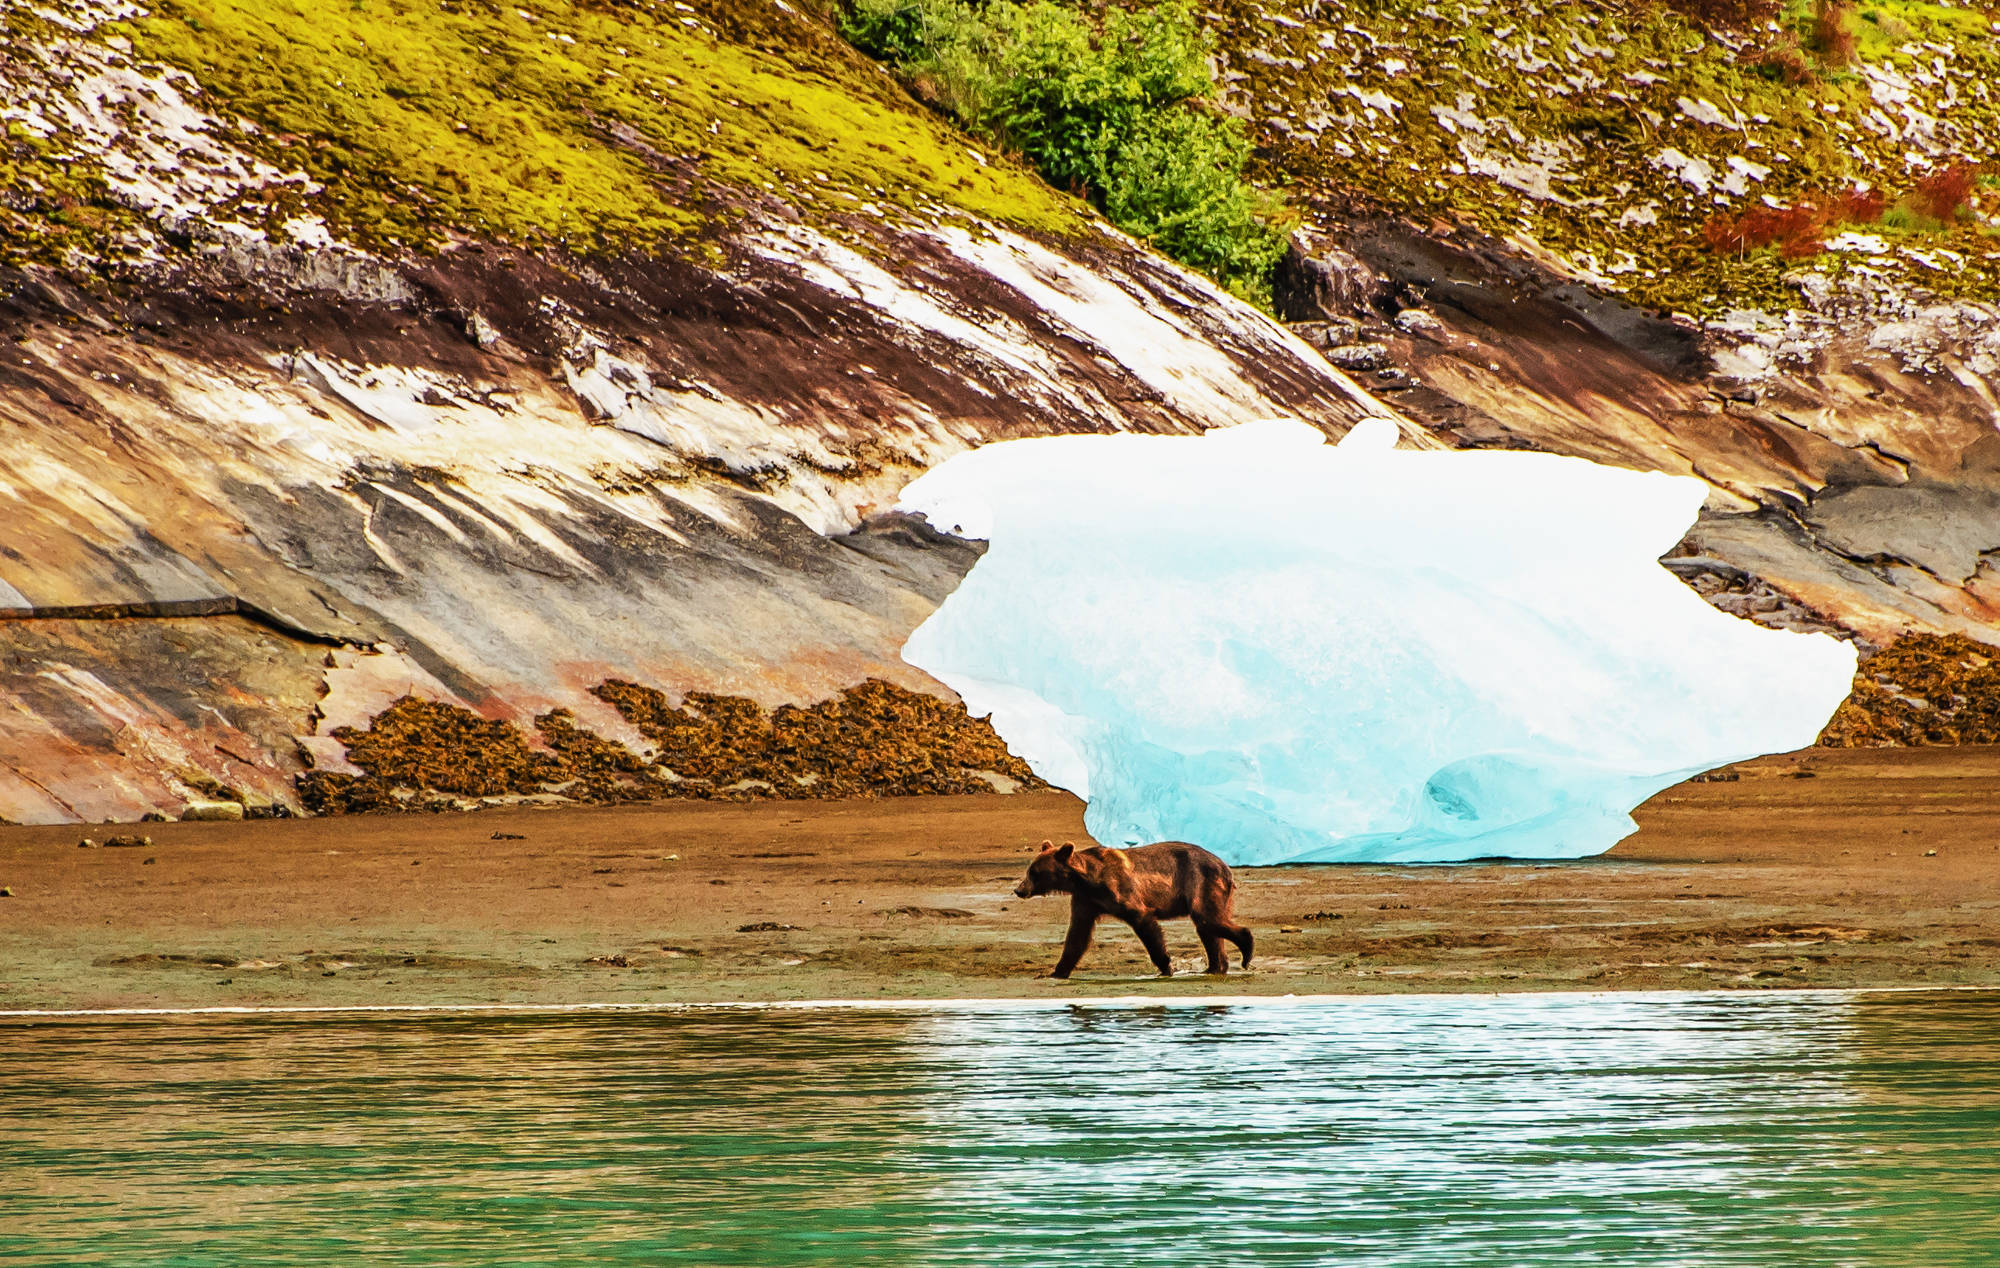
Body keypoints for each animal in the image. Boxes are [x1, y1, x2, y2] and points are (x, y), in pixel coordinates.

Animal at [1012, 839, 1253, 978]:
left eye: (1034, 872)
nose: (1018, 889)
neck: (1087, 879)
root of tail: (1226, 867)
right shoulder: (1086, 901)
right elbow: (1077, 936)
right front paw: (1055, 972)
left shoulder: (1122, 890)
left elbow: (1145, 922)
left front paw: (1166, 966)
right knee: (1207, 928)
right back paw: (1215, 967)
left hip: (1201, 881)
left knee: (1207, 919)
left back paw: (1245, 950)